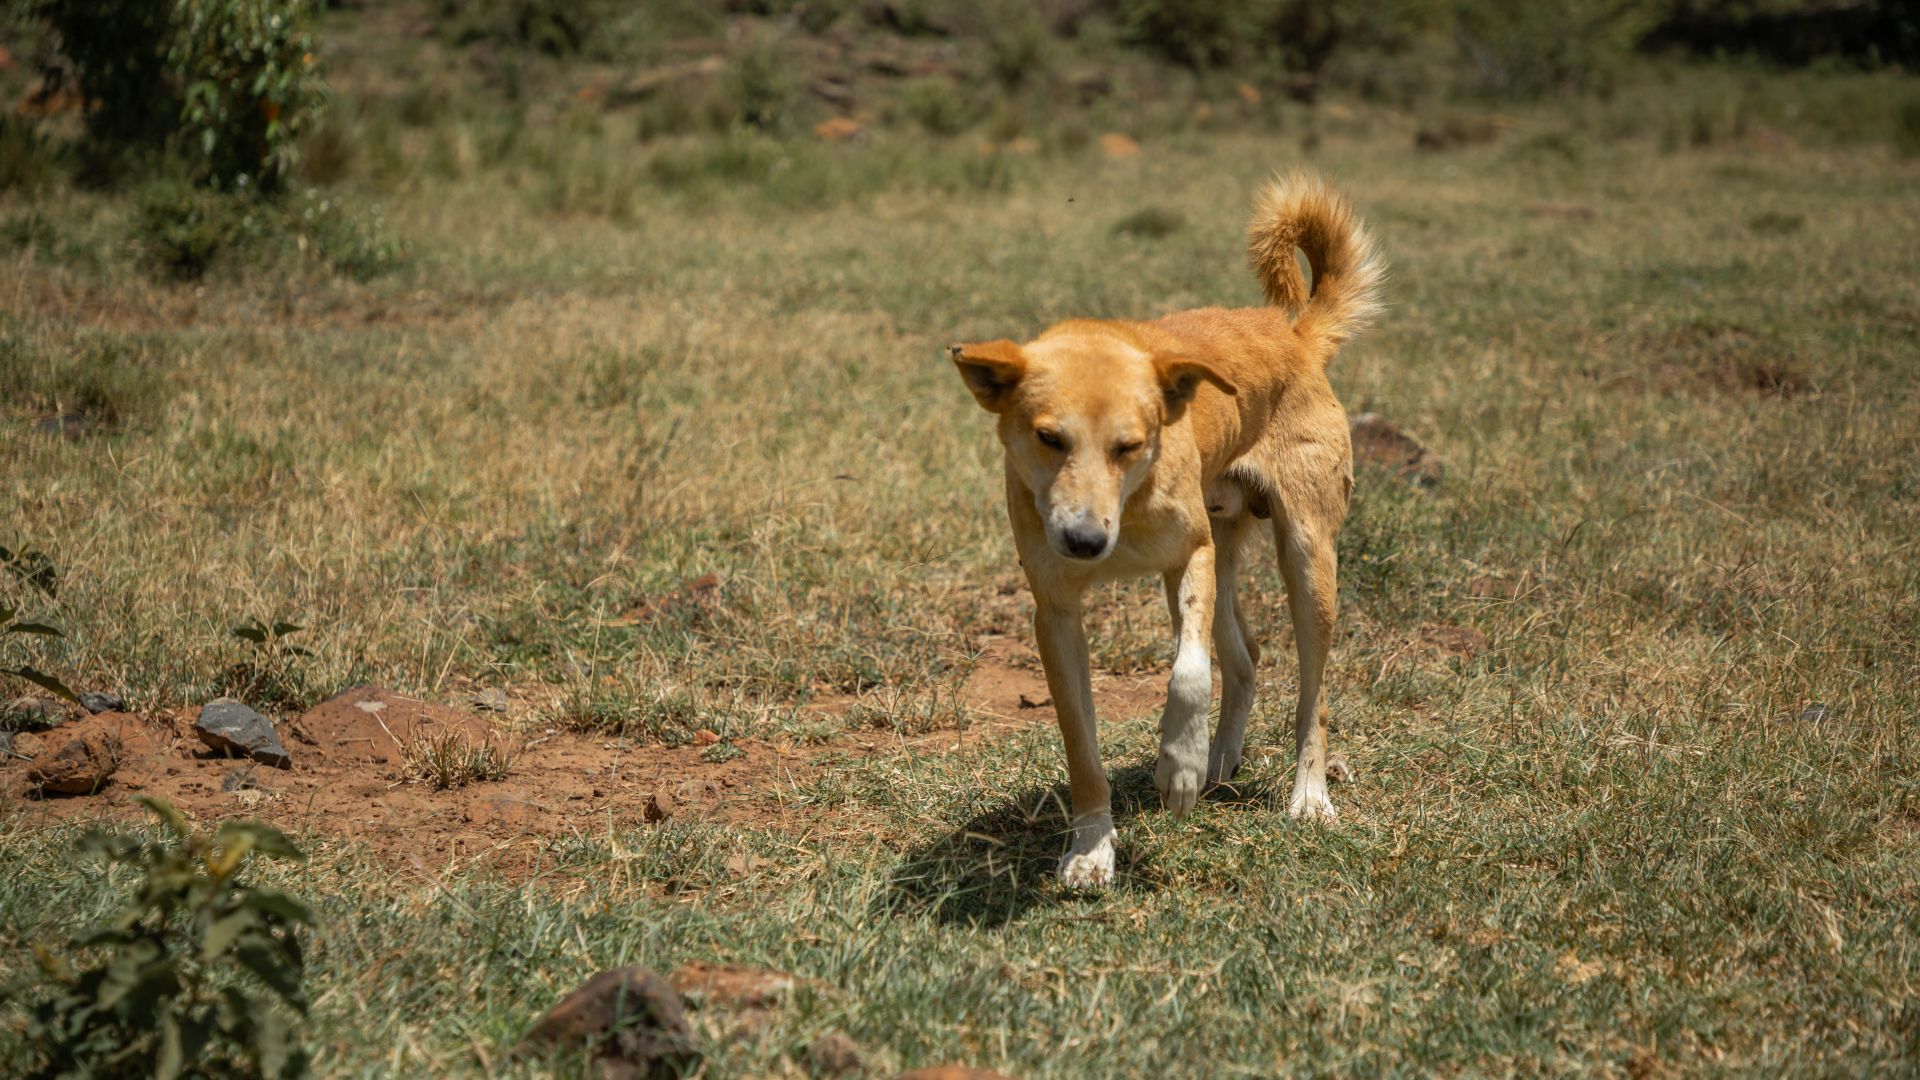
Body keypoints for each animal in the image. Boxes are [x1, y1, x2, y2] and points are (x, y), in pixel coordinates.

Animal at [952, 171, 1390, 883]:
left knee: (1310, 694)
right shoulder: (1056, 613)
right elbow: (1082, 747)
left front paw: (1176, 770)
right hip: (1227, 550)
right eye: (1049, 438)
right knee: (1245, 658)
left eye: (1130, 444)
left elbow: (1188, 674)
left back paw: (1306, 794)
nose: (1084, 543)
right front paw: (1091, 847)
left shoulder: (1191, 555)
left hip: (1304, 557)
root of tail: (1296, 334)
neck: (1127, 509)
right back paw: (1220, 761)